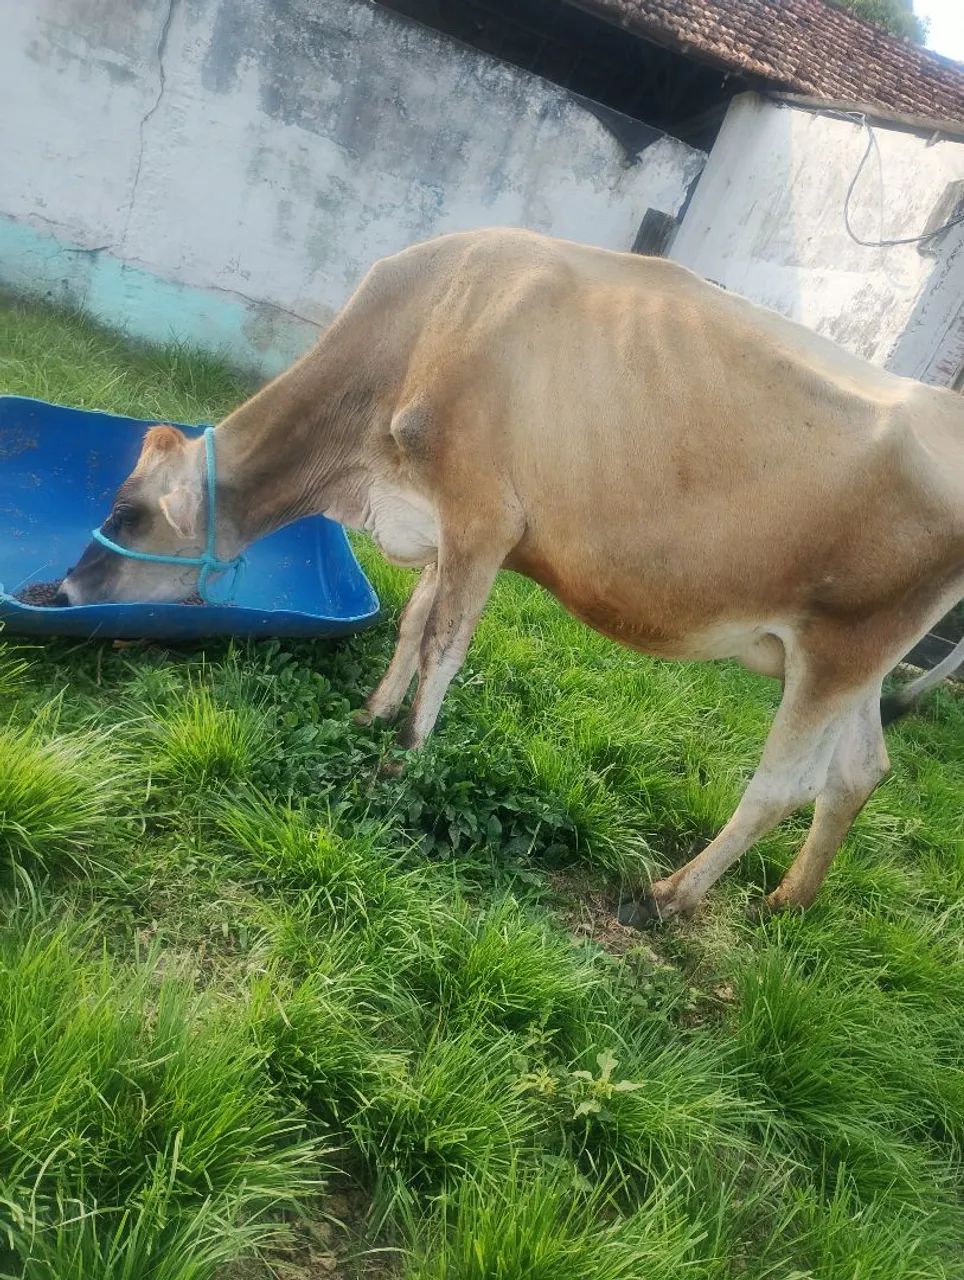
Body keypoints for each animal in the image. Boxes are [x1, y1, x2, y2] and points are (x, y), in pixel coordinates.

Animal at [61, 228, 964, 923]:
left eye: (127, 510)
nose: (57, 593)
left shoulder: (483, 518)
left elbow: (443, 645)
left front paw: (403, 762)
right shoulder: (439, 519)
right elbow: (412, 623)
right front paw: (369, 715)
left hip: (841, 645)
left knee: (784, 784)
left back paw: (668, 897)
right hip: (851, 657)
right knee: (859, 770)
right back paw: (789, 902)